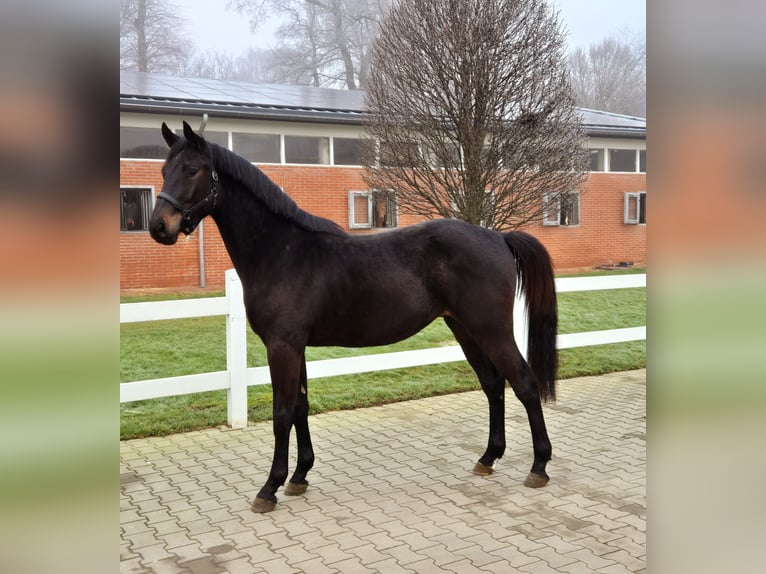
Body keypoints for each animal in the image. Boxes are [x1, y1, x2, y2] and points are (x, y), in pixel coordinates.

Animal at [150, 120, 560, 512]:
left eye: (192, 169)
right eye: (163, 170)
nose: (159, 226)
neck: (282, 251)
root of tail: (498, 237)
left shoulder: (282, 346)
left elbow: (282, 413)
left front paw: (270, 488)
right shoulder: (295, 347)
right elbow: (300, 406)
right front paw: (299, 476)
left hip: (492, 330)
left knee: (524, 384)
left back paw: (539, 466)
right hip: (464, 329)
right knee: (493, 385)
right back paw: (489, 457)